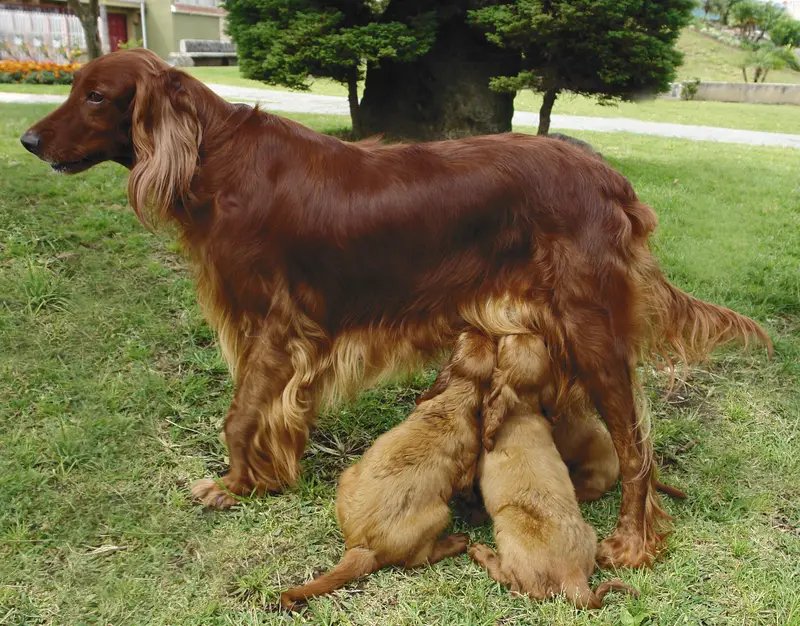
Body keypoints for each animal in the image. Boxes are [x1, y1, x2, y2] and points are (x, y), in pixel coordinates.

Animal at [282, 330, 494, 608]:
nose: (482, 329)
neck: (452, 401)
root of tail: (361, 547)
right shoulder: (466, 473)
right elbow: (470, 495)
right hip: (439, 514)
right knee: (416, 561)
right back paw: (456, 541)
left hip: (348, 475)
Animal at [468, 334, 636, 608]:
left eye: (505, 343)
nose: (529, 331)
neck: (522, 413)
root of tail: (572, 574)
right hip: (590, 535)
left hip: (506, 526)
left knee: (517, 584)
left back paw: (482, 553)